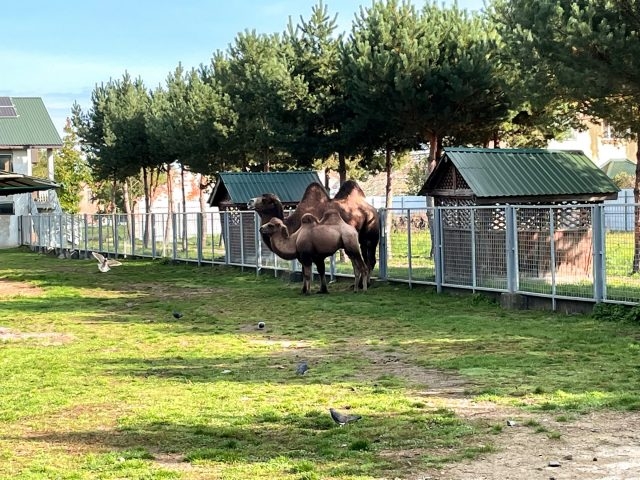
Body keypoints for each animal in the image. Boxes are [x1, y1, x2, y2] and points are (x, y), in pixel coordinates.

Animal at [249, 180, 380, 284]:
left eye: (265, 200)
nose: (250, 201)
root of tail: (372, 208)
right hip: (359, 238)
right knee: (362, 258)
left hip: (371, 235)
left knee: (371, 259)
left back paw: (366, 284)